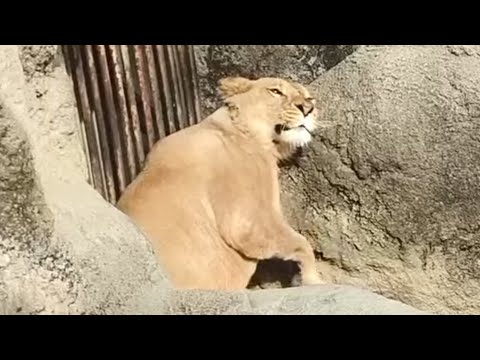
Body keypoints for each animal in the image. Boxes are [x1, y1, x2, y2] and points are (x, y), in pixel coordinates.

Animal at [116, 76, 324, 290]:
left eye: (308, 97)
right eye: (275, 91)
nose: (308, 108)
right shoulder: (248, 222)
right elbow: (301, 242)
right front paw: (313, 279)